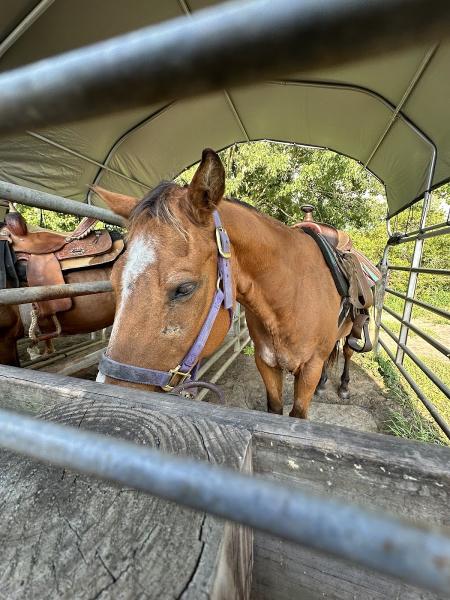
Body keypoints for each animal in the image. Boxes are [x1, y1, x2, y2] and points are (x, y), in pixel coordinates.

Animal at [95, 149, 356, 418]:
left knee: (347, 351)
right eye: (113, 279)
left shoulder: (309, 371)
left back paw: (343, 387)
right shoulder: (267, 364)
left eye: (185, 288)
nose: (108, 397)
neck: (291, 296)